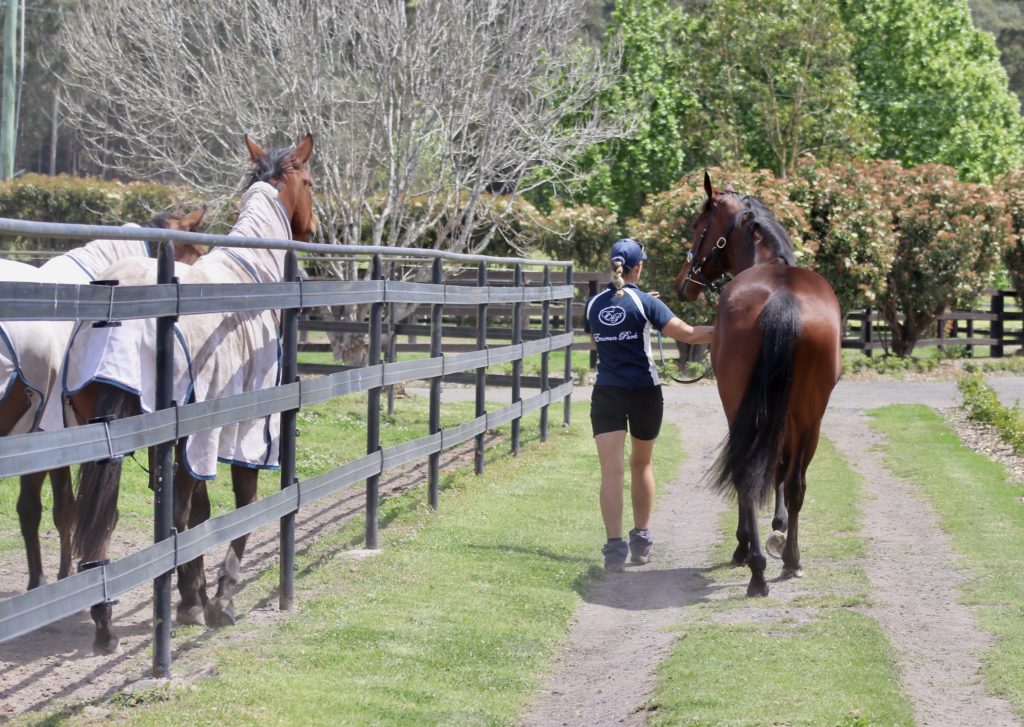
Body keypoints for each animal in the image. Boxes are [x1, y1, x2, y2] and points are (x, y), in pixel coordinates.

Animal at [62, 132, 315, 654]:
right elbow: (238, 507)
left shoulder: (193, 442)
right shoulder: (238, 433)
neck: (250, 279)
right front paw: (219, 599)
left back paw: (105, 623)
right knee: (173, 515)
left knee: (102, 519)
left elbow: (199, 512)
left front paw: (192, 596)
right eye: (311, 183)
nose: (314, 228)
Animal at [675, 172, 841, 597]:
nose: (684, 281)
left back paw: (755, 568)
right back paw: (792, 560)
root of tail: (782, 296)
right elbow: (781, 468)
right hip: (811, 415)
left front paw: (749, 543)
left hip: (743, 407)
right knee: (796, 481)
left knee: (746, 475)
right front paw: (779, 529)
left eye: (698, 226)